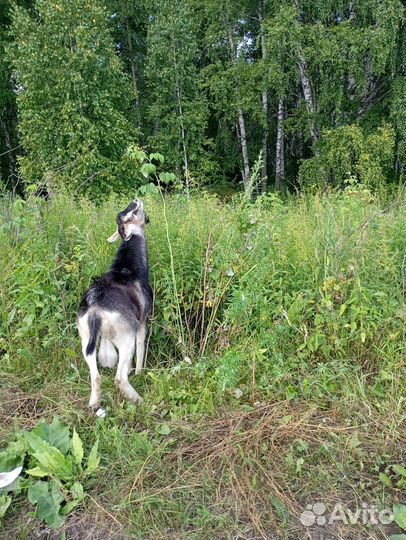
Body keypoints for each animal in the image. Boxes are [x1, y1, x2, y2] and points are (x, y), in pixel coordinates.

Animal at [77, 198, 152, 410]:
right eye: (133, 213)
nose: (135, 200)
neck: (130, 267)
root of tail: (95, 310)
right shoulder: (142, 322)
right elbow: (141, 348)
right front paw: (139, 372)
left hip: (86, 340)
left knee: (95, 377)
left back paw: (94, 404)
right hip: (126, 338)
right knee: (119, 378)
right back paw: (139, 399)